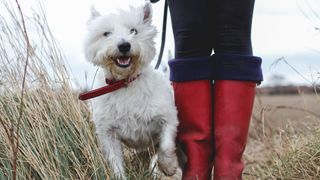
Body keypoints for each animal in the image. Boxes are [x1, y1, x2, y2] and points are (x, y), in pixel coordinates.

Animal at [84, 2, 179, 179]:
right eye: (106, 33)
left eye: (134, 30)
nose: (124, 45)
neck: (124, 82)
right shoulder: (108, 133)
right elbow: (115, 163)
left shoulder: (167, 117)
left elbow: (166, 145)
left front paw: (169, 166)